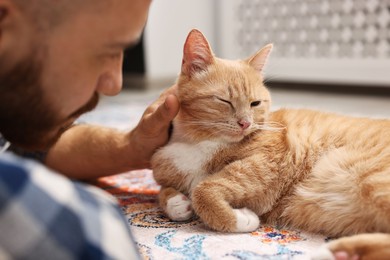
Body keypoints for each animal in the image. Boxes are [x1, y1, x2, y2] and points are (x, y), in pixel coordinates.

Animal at [150, 29, 390, 258]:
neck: (198, 141)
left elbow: (204, 190)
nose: (245, 123)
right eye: (224, 101)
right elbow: (162, 191)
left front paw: (240, 218)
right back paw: (341, 252)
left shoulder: (267, 162)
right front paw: (176, 203)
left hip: (370, 178)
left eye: (255, 103)